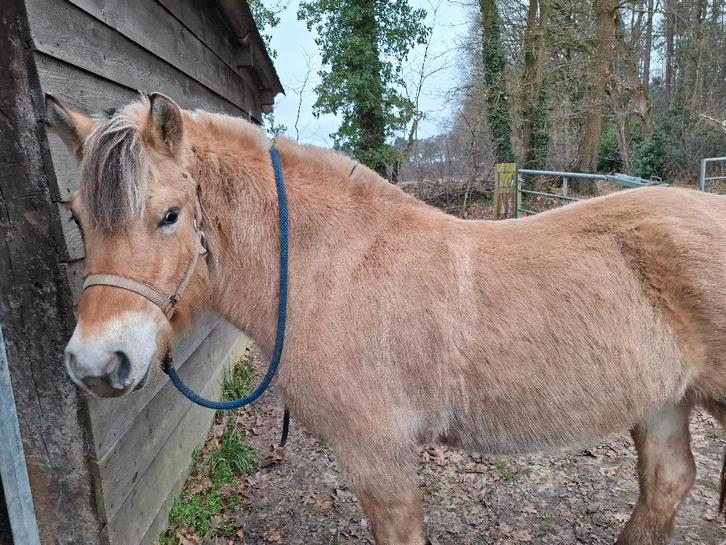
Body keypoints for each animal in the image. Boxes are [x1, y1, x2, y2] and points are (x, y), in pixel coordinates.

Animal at [46, 92, 726, 545]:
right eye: (77, 216)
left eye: (169, 215)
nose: (95, 362)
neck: (334, 268)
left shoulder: (379, 460)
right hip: (662, 402)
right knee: (668, 484)